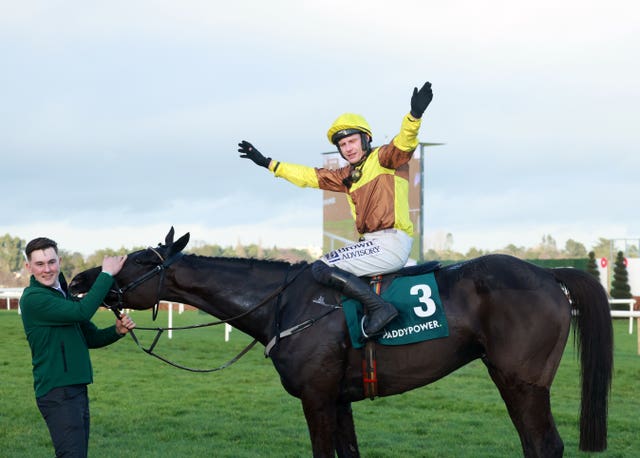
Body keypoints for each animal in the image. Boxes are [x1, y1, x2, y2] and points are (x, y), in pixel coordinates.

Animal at [67, 229, 612, 458]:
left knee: (545, 446)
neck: (286, 305)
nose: (79, 279)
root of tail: (547, 273)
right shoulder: (339, 398)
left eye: (140, 260)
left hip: (522, 381)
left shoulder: (316, 398)